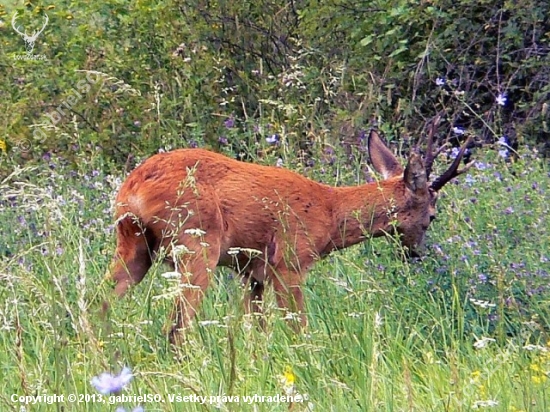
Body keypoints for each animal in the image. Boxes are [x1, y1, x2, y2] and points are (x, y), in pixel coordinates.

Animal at [111, 123, 474, 344]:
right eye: (432, 216)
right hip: (196, 245)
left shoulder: (252, 273)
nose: (415, 253)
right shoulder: (289, 262)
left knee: (102, 301)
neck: (330, 212)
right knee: (177, 327)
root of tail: (132, 188)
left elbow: (257, 331)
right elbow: (297, 326)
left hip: (133, 245)